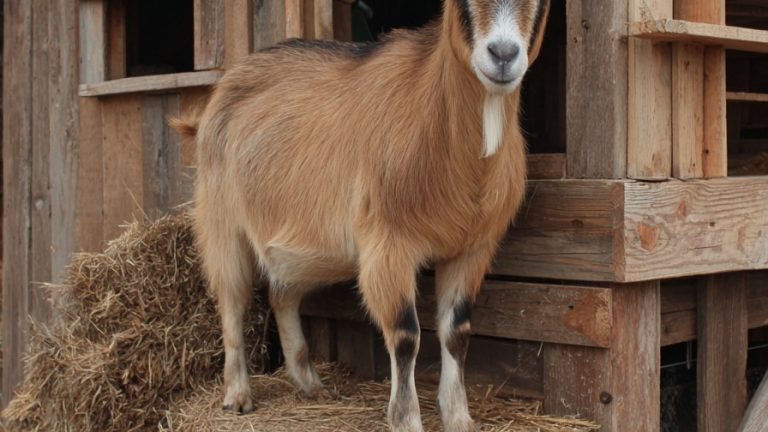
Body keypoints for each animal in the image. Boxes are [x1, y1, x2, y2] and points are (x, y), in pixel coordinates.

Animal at [172, 1, 550, 430]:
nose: (503, 54)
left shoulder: (473, 248)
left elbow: (457, 331)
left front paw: (459, 418)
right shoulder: (389, 243)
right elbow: (404, 335)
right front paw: (406, 420)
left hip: (300, 249)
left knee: (281, 294)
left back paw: (309, 384)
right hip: (222, 221)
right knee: (231, 300)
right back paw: (238, 396)